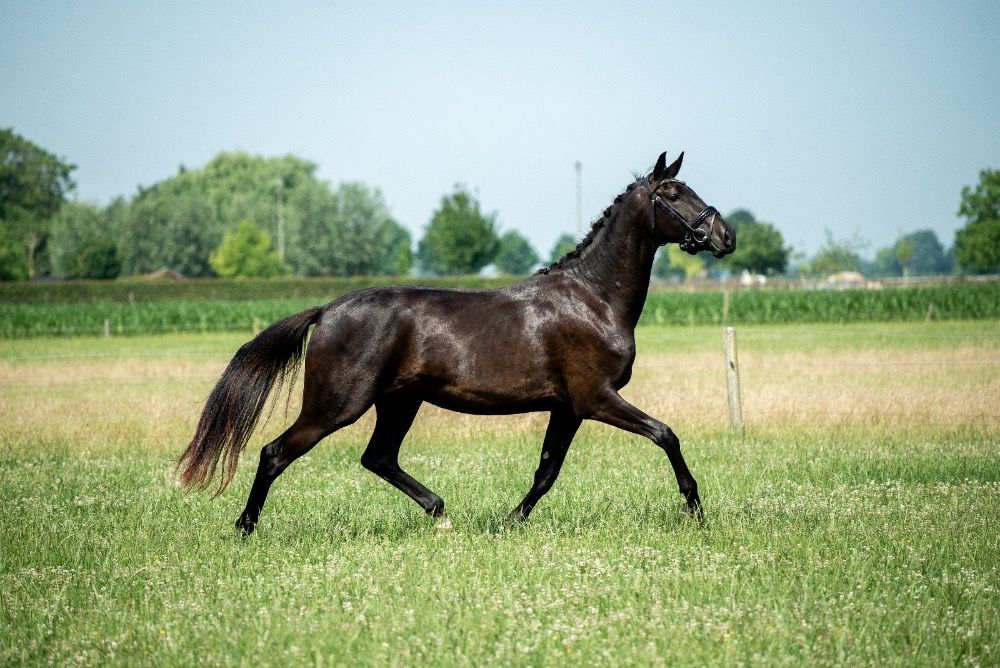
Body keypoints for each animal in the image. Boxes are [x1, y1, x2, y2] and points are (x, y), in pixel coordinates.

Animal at [177, 151, 736, 534]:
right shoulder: (595, 398)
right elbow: (666, 435)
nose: (725, 236)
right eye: (674, 194)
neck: (592, 298)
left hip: (399, 402)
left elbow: (546, 471)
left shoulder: (567, 407)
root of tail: (328, 310)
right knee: (275, 452)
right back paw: (245, 528)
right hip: (337, 405)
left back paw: (440, 513)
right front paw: (696, 510)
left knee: (378, 458)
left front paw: (510, 522)